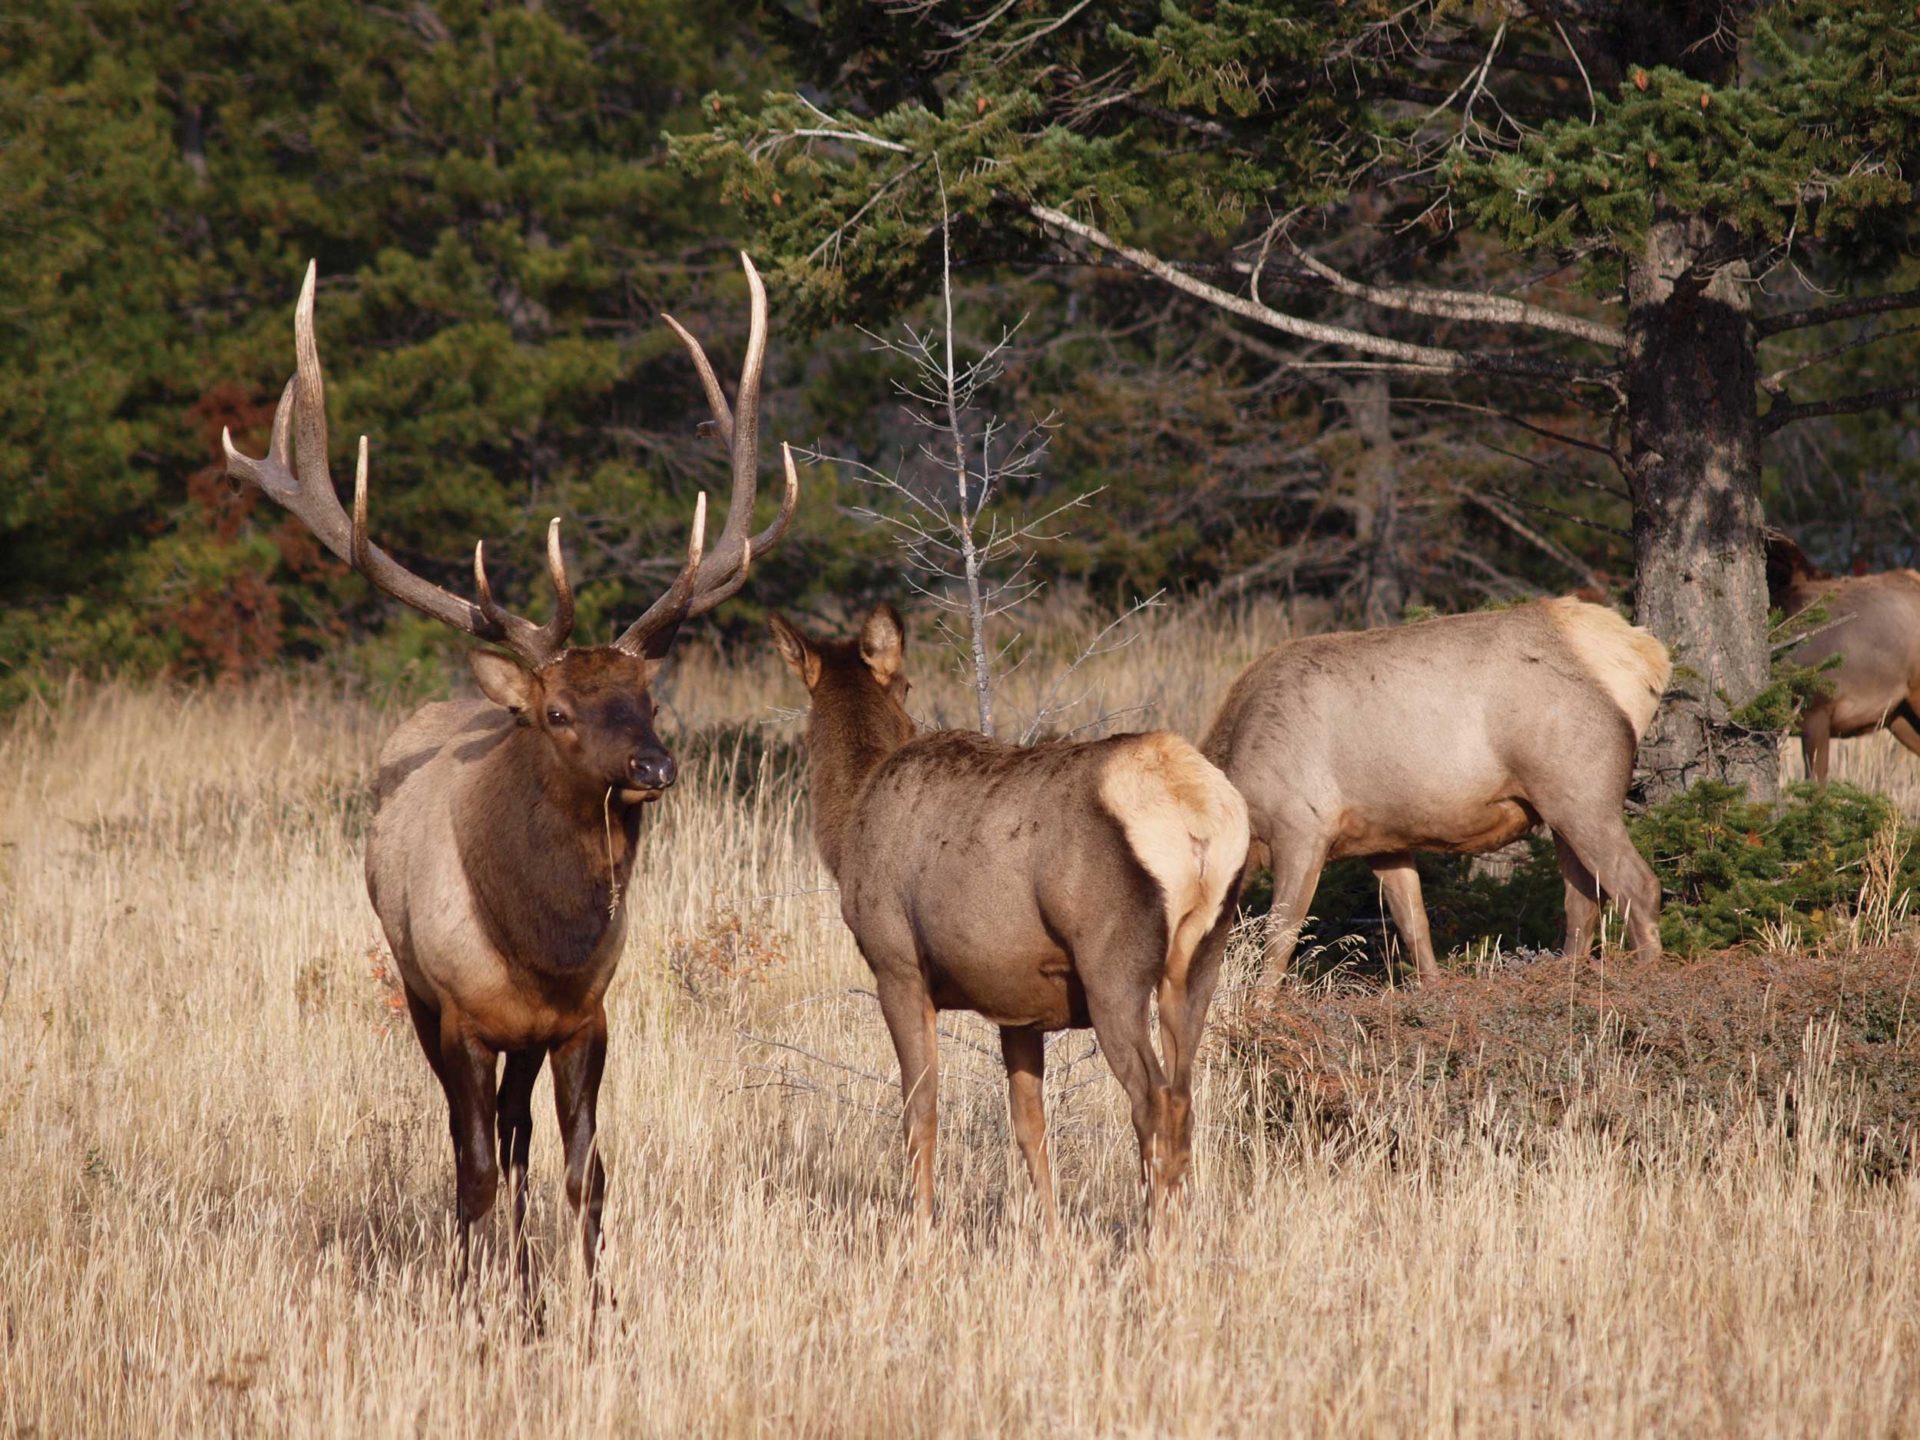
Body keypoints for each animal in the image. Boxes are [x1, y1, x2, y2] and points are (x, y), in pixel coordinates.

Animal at [222, 253, 794, 1282]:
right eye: (558, 713)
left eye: (649, 699)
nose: (654, 764)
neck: (540, 946)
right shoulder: (460, 1014)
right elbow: (475, 1169)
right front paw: (482, 1298)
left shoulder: (585, 1016)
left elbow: (584, 1172)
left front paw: (590, 1302)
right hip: (415, 990)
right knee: (475, 1142)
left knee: (523, 1137)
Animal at [771, 606, 1251, 1228]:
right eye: (908, 685)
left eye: (806, 729)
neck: (850, 819)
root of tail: (1199, 815)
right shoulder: (1018, 1002)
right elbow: (1030, 1126)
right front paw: (1049, 1233)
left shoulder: (895, 963)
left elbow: (920, 1109)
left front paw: (920, 1228)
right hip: (1202, 960)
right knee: (1185, 1097)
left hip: (1112, 964)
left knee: (1155, 1100)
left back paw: (1155, 1237)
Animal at [1205, 599, 1674, 983]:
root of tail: (1646, 659)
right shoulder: (1383, 840)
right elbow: (1414, 925)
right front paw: (1431, 991)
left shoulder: (1302, 828)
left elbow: (1280, 938)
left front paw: (1260, 1010)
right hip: (1558, 807)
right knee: (1583, 901)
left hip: (1583, 794)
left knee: (1639, 886)